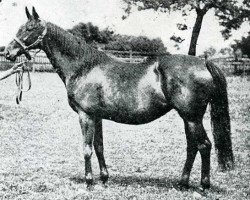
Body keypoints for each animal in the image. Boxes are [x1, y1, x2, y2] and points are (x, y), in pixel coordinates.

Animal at [4, 7, 234, 190]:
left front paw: (89, 182)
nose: (8, 52)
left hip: (192, 117)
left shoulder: (85, 115)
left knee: (204, 145)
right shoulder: (97, 116)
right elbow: (99, 147)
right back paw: (183, 183)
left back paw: (204, 186)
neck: (84, 67)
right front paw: (104, 178)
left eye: (29, 29)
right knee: (192, 147)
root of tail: (204, 62)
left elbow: (87, 149)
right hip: (188, 118)